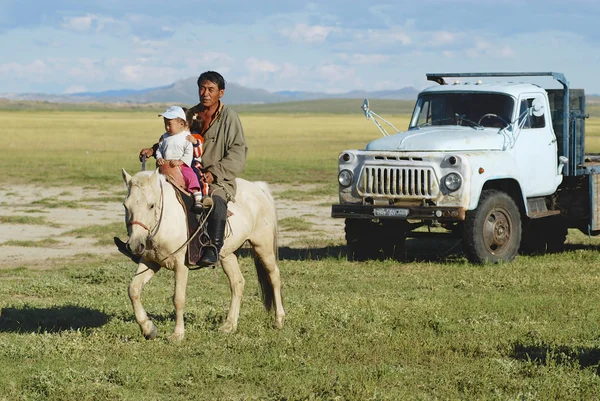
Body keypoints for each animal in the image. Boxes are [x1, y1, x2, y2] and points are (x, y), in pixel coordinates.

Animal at [122, 169, 286, 340]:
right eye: (126, 206)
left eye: (151, 205)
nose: (134, 245)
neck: (166, 218)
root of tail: (258, 188)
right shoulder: (150, 262)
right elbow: (133, 290)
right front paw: (148, 329)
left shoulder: (180, 265)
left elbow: (178, 298)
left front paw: (177, 334)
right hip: (227, 255)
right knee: (237, 283)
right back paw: (229, 325)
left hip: (263, 246)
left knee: (274, 276)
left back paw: (279, 320)